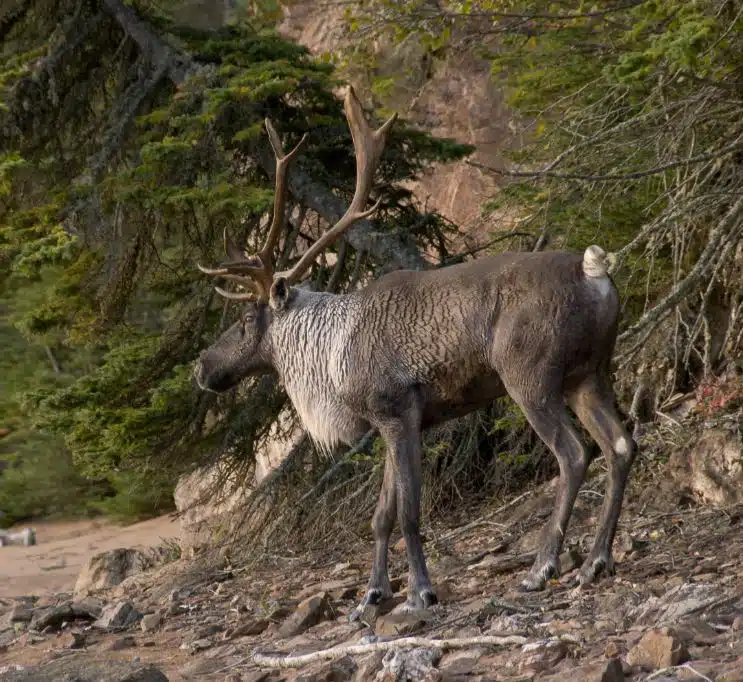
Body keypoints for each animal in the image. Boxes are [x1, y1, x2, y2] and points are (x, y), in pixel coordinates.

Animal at [194, 87, 638, 618]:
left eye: (244, 322)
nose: (201, 367)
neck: (329, 355)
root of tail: (596, 273)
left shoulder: (397, 410)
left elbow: (408, 513)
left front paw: (420, 592)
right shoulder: (396, 422)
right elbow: (381, 515)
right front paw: (371, 594)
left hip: (531, 379)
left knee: (574, 454)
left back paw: (542, 567)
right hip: (589, 374)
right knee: (621, 446)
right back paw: (596, 561)